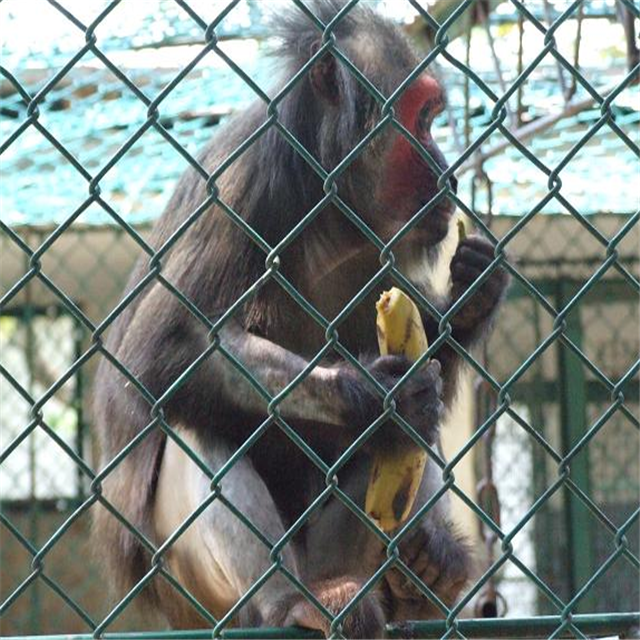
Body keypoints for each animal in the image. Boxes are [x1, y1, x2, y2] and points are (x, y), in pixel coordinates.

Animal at [91, 2, 510, 636]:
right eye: (422, 121)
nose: (450, 173)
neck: (326, 205)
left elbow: (428, 363)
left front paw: (473, 296)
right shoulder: (244, 179)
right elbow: (160, 352)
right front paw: (369, 396)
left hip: (338, 553)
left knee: (407, 441)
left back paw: (415, 578)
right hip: (188, 589)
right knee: (198, 423)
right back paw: (287, 599)